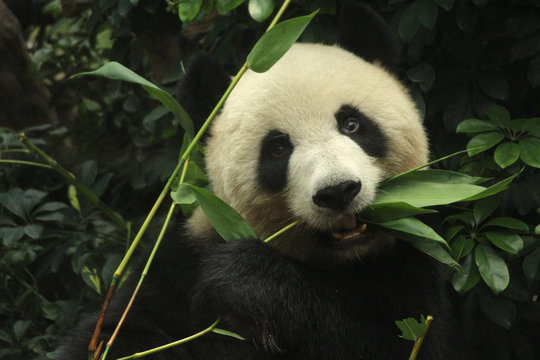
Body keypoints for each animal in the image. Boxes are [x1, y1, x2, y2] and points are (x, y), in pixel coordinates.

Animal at [58, 2, 464, 360]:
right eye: (278, 148)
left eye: (352, 123)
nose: (337, 192)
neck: (340, 261)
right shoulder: (179, 262)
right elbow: (127, 332)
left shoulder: (409, 261)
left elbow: (394, 341)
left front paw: (243, 277)